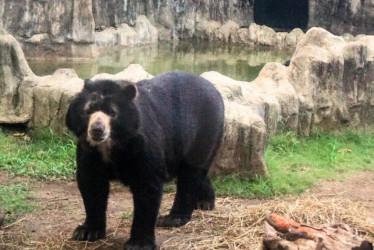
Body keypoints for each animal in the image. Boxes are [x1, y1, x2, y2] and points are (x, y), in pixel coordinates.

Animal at [65, 71, 224, 250]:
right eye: (87, 111)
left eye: (112, 113)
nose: (97, 130)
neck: (110, 145)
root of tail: (214, 89)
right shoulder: (89, 149)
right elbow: (91, 183)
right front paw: (86, 232)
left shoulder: (142, 144)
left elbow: (147, 186)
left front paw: (138, 243)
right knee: (199, 172)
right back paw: (204, 202)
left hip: (203, 131)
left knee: (190, 174)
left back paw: (173, 218)